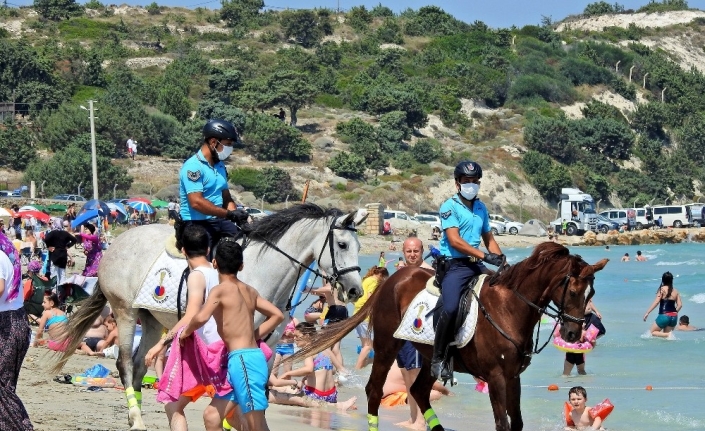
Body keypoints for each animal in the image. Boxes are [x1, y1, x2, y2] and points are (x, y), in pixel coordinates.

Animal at [52, 204, 366, 430]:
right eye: (342, 245)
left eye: (358, 247)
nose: (355, 290)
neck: (262, 270)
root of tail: (119, 242)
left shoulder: (269, 342)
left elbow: (259, 388)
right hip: (125, 312)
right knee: (126, 363)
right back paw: (137, 420)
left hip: (151, 319)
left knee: (141, 365)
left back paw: (136, 413)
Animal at [288, 243, 608, 431]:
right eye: (574, 291)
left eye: (591, 292)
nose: (572, 333)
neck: (508, 307)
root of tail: (392, 279)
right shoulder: (496, 376)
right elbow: (502, 423)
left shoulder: (513, 376)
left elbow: (516, 422)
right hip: (387, 346)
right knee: (374, 391)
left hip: (430, 356)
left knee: (418, 391)